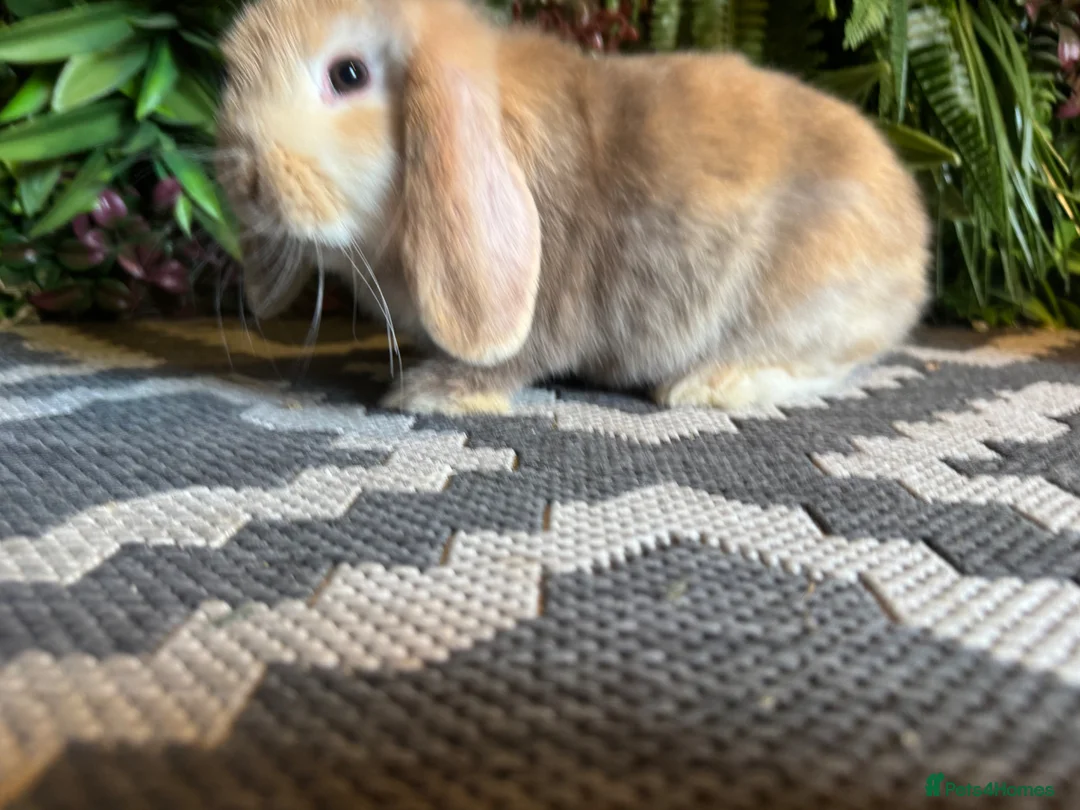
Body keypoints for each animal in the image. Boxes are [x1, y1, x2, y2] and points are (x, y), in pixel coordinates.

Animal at [216, 0, 930, 415]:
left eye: (348, 75)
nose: (245, 178)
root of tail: (916, 235)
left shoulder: (550, 308)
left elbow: (518, 359)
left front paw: (431, 392)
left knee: (832, 365)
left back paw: (711, 386)